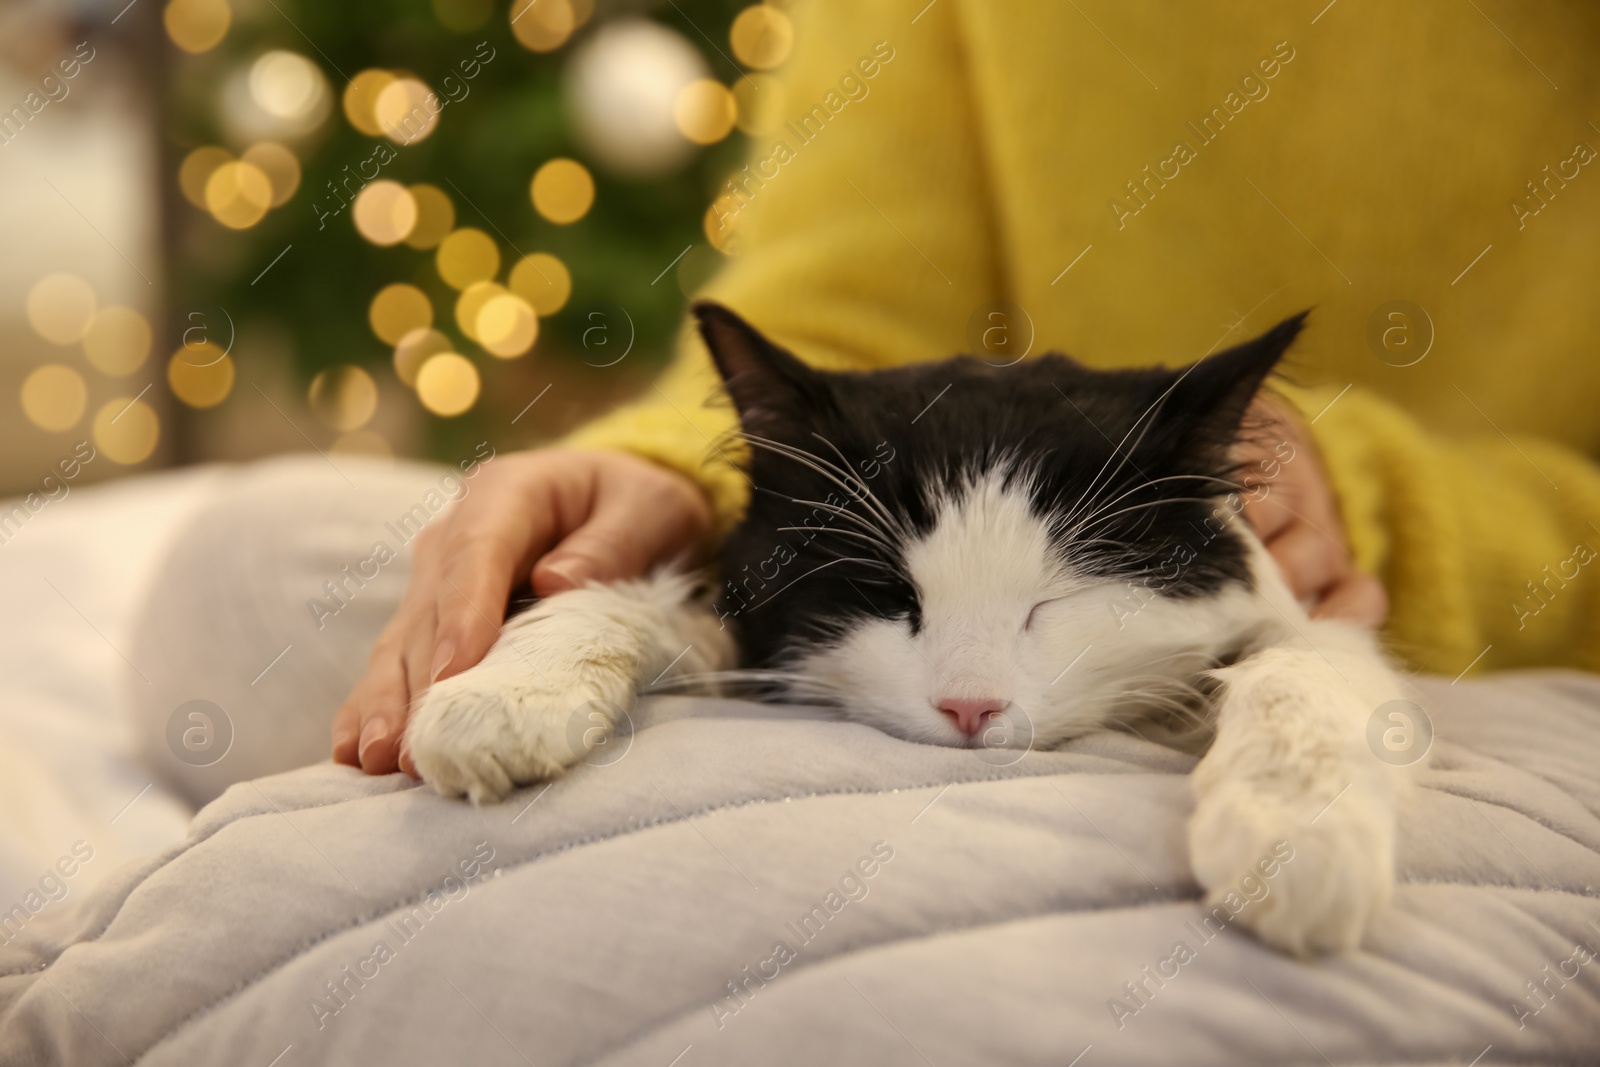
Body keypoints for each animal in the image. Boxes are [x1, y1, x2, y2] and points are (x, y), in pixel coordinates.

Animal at [403, 302, 1414, 959]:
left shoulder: (1302, 619)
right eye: (890, 594)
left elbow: (1305, 671)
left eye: (1052, 600)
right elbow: (625, 594)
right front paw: (500, 694)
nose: (970, 707)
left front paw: (1295, 833)